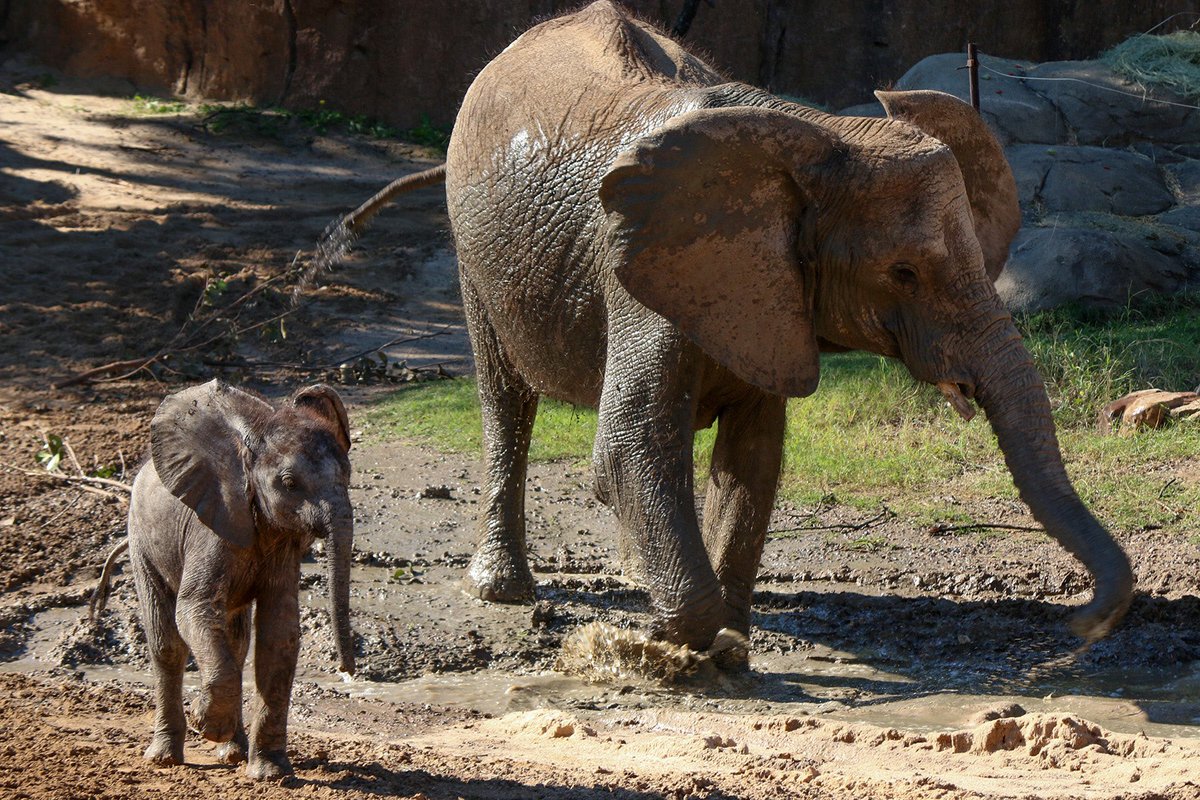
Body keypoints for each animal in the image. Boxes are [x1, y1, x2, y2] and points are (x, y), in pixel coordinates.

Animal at [108, 379, 355, 779]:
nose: (346, 670)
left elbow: (280, 632)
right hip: (140, 537)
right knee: (167, 642)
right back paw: (165, 757)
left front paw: (270, 774)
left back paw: (233, 754)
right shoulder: (210, 528)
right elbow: (193, 608)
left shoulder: (282, 543)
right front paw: (205, 722)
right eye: (289, 483)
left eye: (347, 475)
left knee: (235, 644)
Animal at [325, 1, 1133, 655]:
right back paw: (503, 590)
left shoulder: (764, 292)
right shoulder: (642, 268)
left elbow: (753, 454)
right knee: (505, 398)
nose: (1082, 624)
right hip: (472, 248)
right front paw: (681, 643)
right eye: (904, 273)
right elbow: (628, 447)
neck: (815, 133)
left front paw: (729, 635)